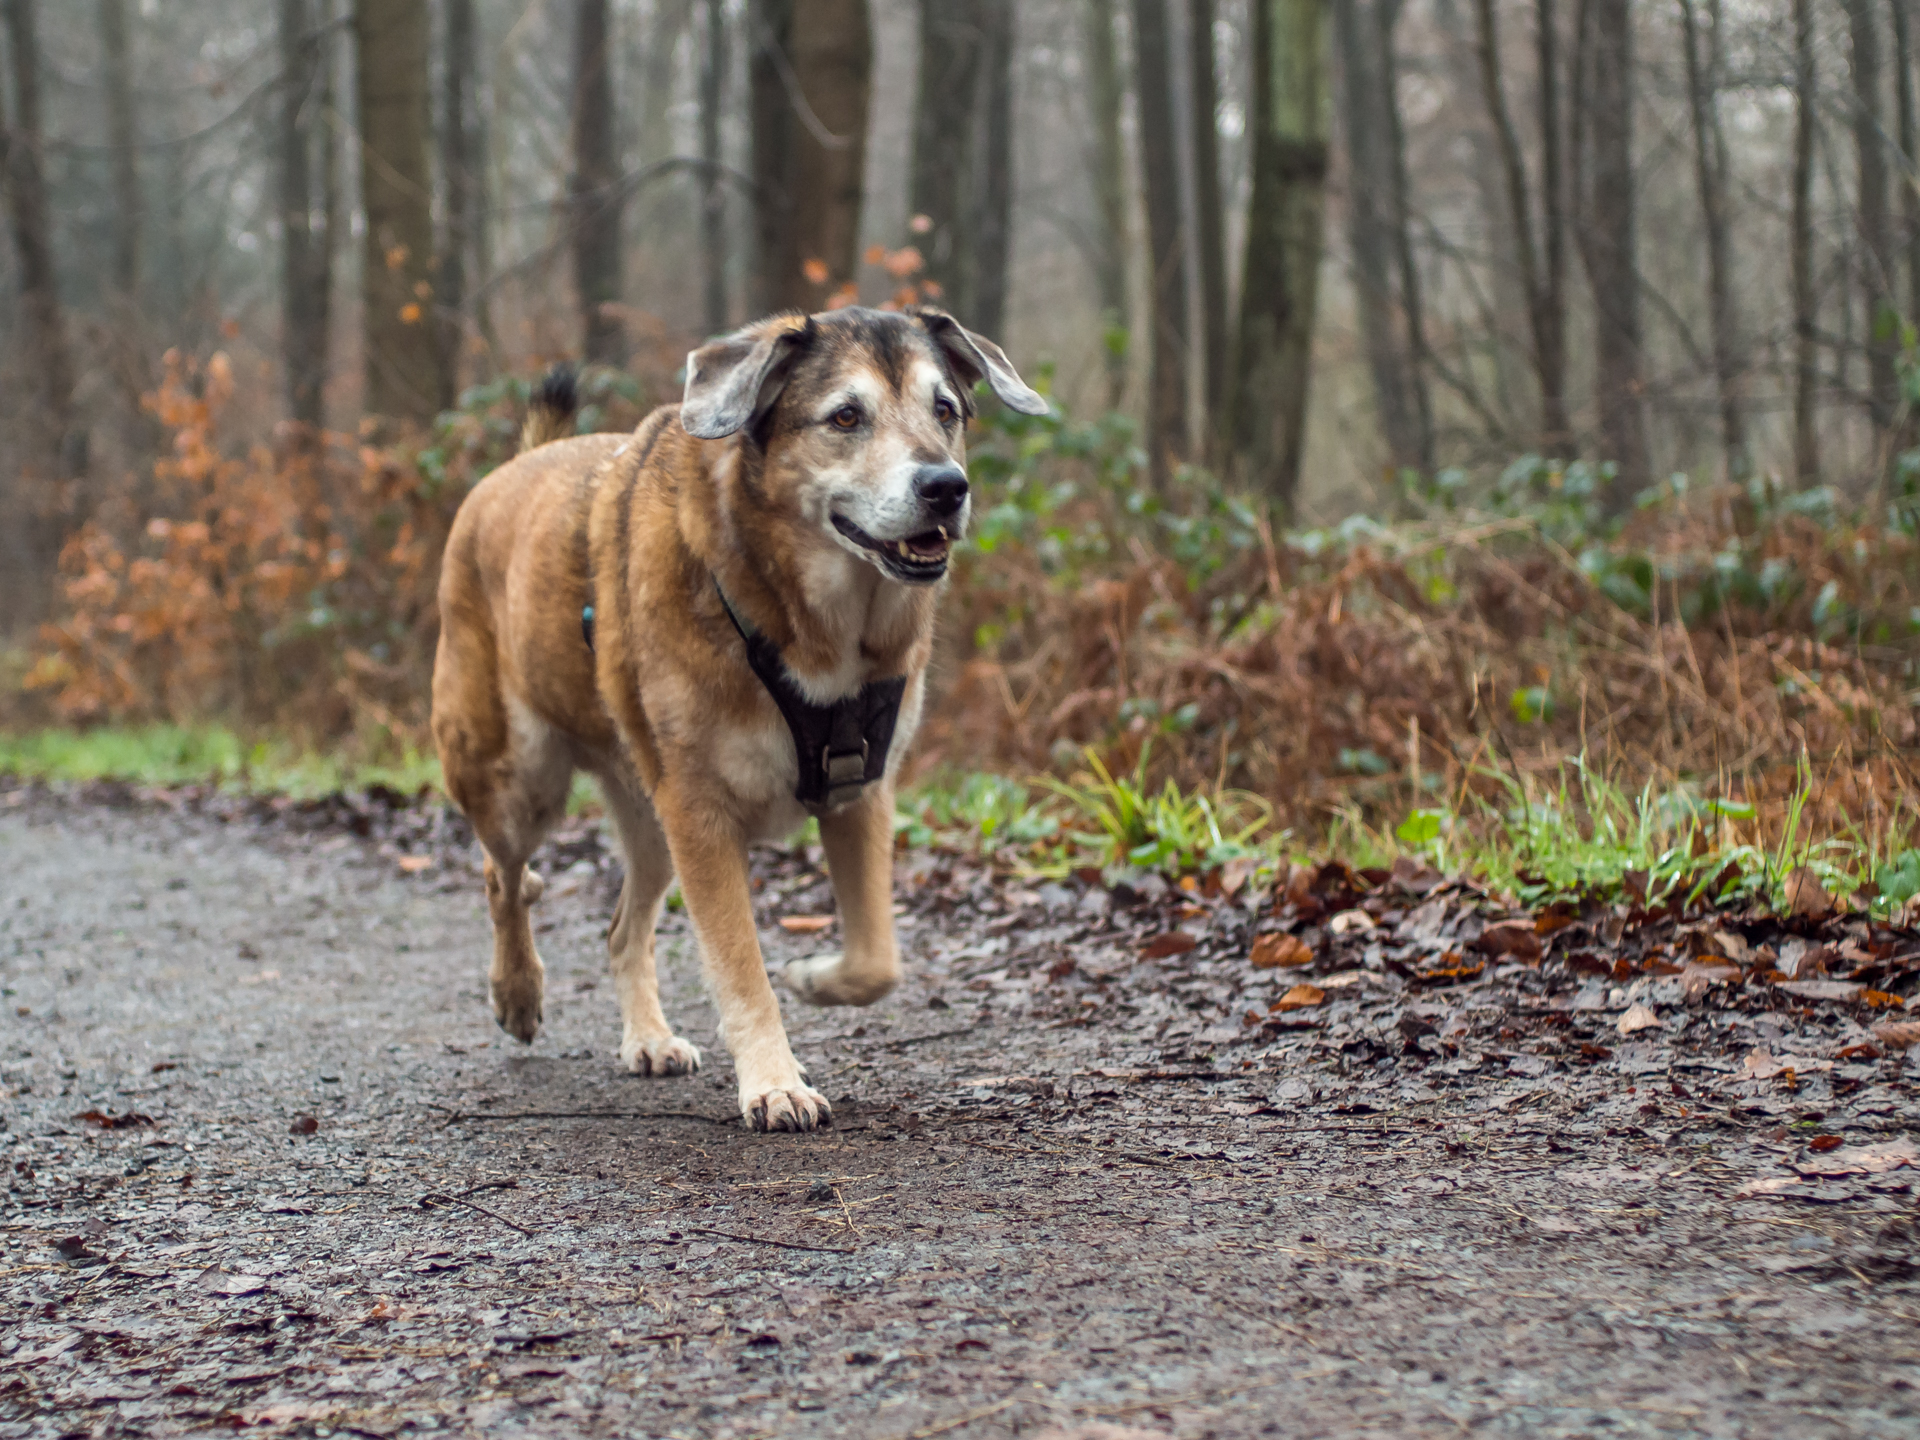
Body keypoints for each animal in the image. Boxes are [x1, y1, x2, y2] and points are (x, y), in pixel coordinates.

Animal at [430, 311, 1044, 1136]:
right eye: (844, 417)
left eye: (943, 409)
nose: (945, 487)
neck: (808, 626)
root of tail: (518, 465)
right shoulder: (703, 816)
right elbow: (740, 966)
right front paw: (774, 1081)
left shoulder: (859, 795)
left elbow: (877, 961)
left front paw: (817, 975)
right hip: (520, 781)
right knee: (504, 878)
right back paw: (518, 991)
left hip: (651, 823)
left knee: (621, 928)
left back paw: (648, 1038)